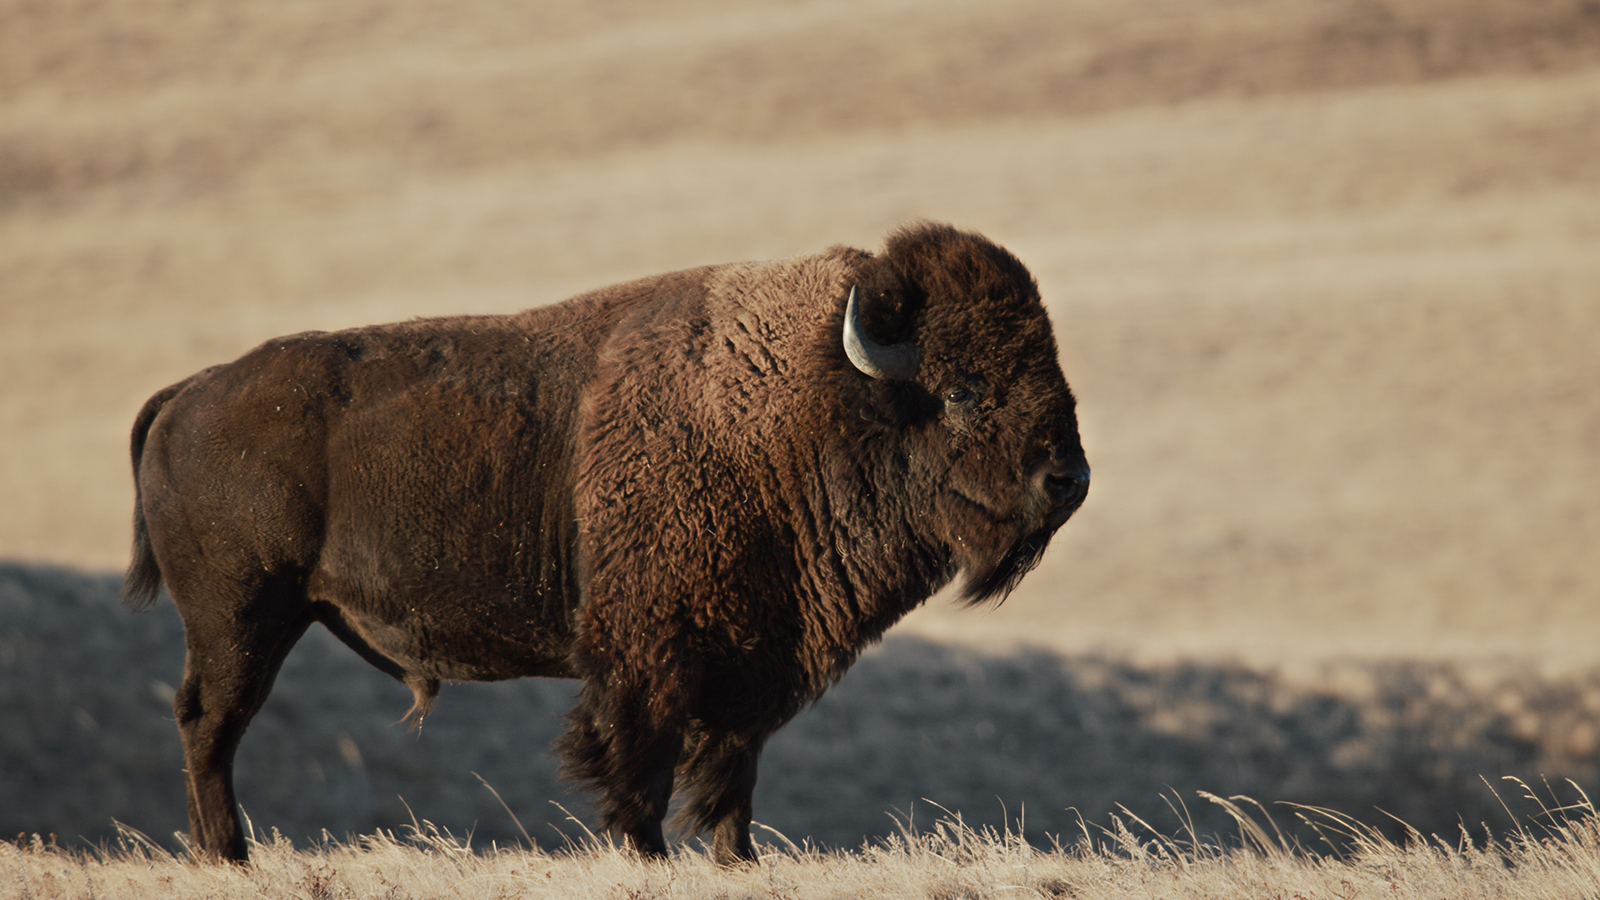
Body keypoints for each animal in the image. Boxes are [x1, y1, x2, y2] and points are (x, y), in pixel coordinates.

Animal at [123, 222, 1089, 865]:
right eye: (963, 388)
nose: (1068, 479)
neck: (811, 398)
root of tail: (188, 393)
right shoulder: (646, 661)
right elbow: (642, 770)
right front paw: (646, 854)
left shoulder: (753, 665)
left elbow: (732, 776)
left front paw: (737, 861)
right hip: (241, 619)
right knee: (211, 724)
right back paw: (228, 853)